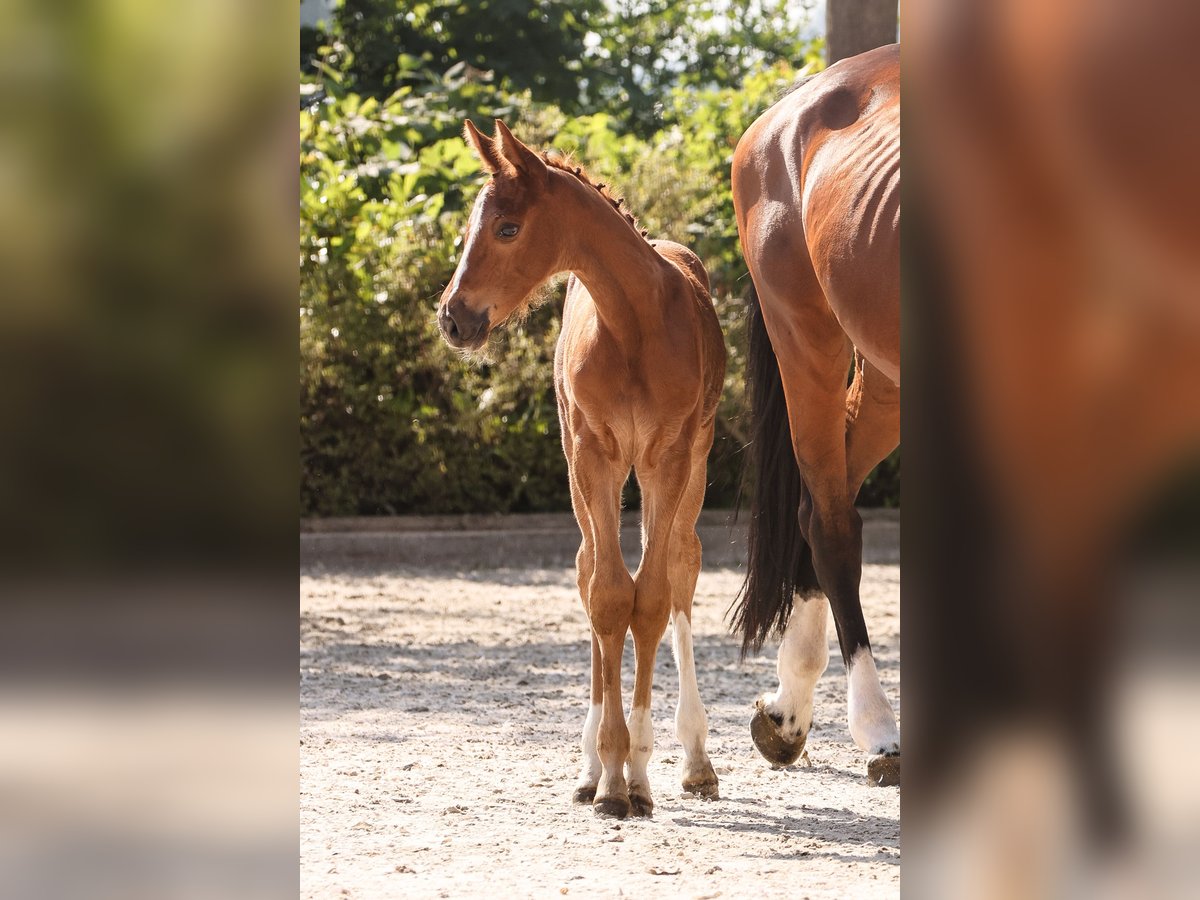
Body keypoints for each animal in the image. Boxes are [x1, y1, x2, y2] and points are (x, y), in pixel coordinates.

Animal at [439, 118, 724, 816]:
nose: (453, 318)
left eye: (507, 227)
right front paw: (613, 772)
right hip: (582, 471)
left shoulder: (668, 458)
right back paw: (593, 765)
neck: (634, 326)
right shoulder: (593, 456)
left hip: (692, 468)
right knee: (589, 569)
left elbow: (651, 598)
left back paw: (693, 759)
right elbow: (608, 595)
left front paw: (641, 772)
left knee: (681, 566)